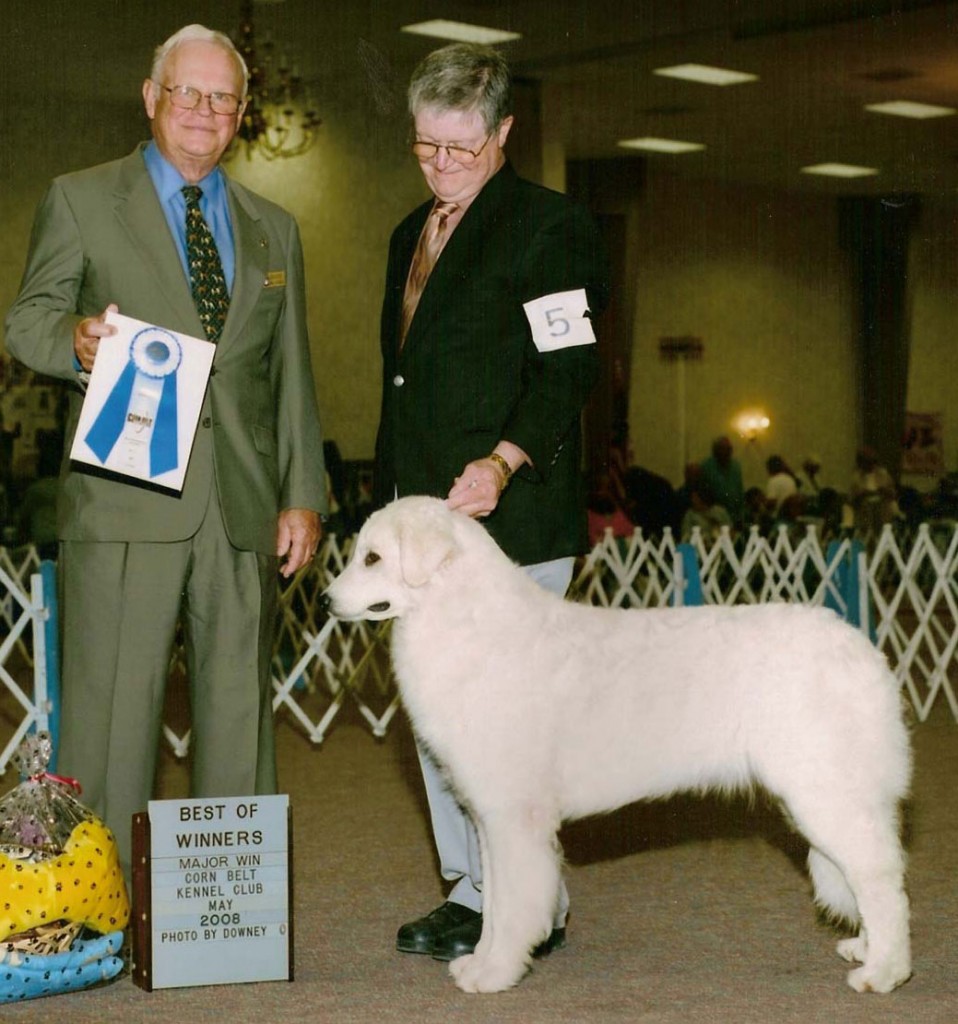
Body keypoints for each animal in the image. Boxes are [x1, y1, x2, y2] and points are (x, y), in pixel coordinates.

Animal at [327, 495, 912, 991]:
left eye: (373, 558)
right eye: (357, 554)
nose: (326, 600)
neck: (463, 619)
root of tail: (861, 648)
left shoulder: (515, 818)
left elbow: (515, 906)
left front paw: (496, 973)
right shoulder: (490, 820)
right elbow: (493, 904)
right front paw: (481, 961)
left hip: (826, 793)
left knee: (881, 881)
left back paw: (883, 972)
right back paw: (865, 949)